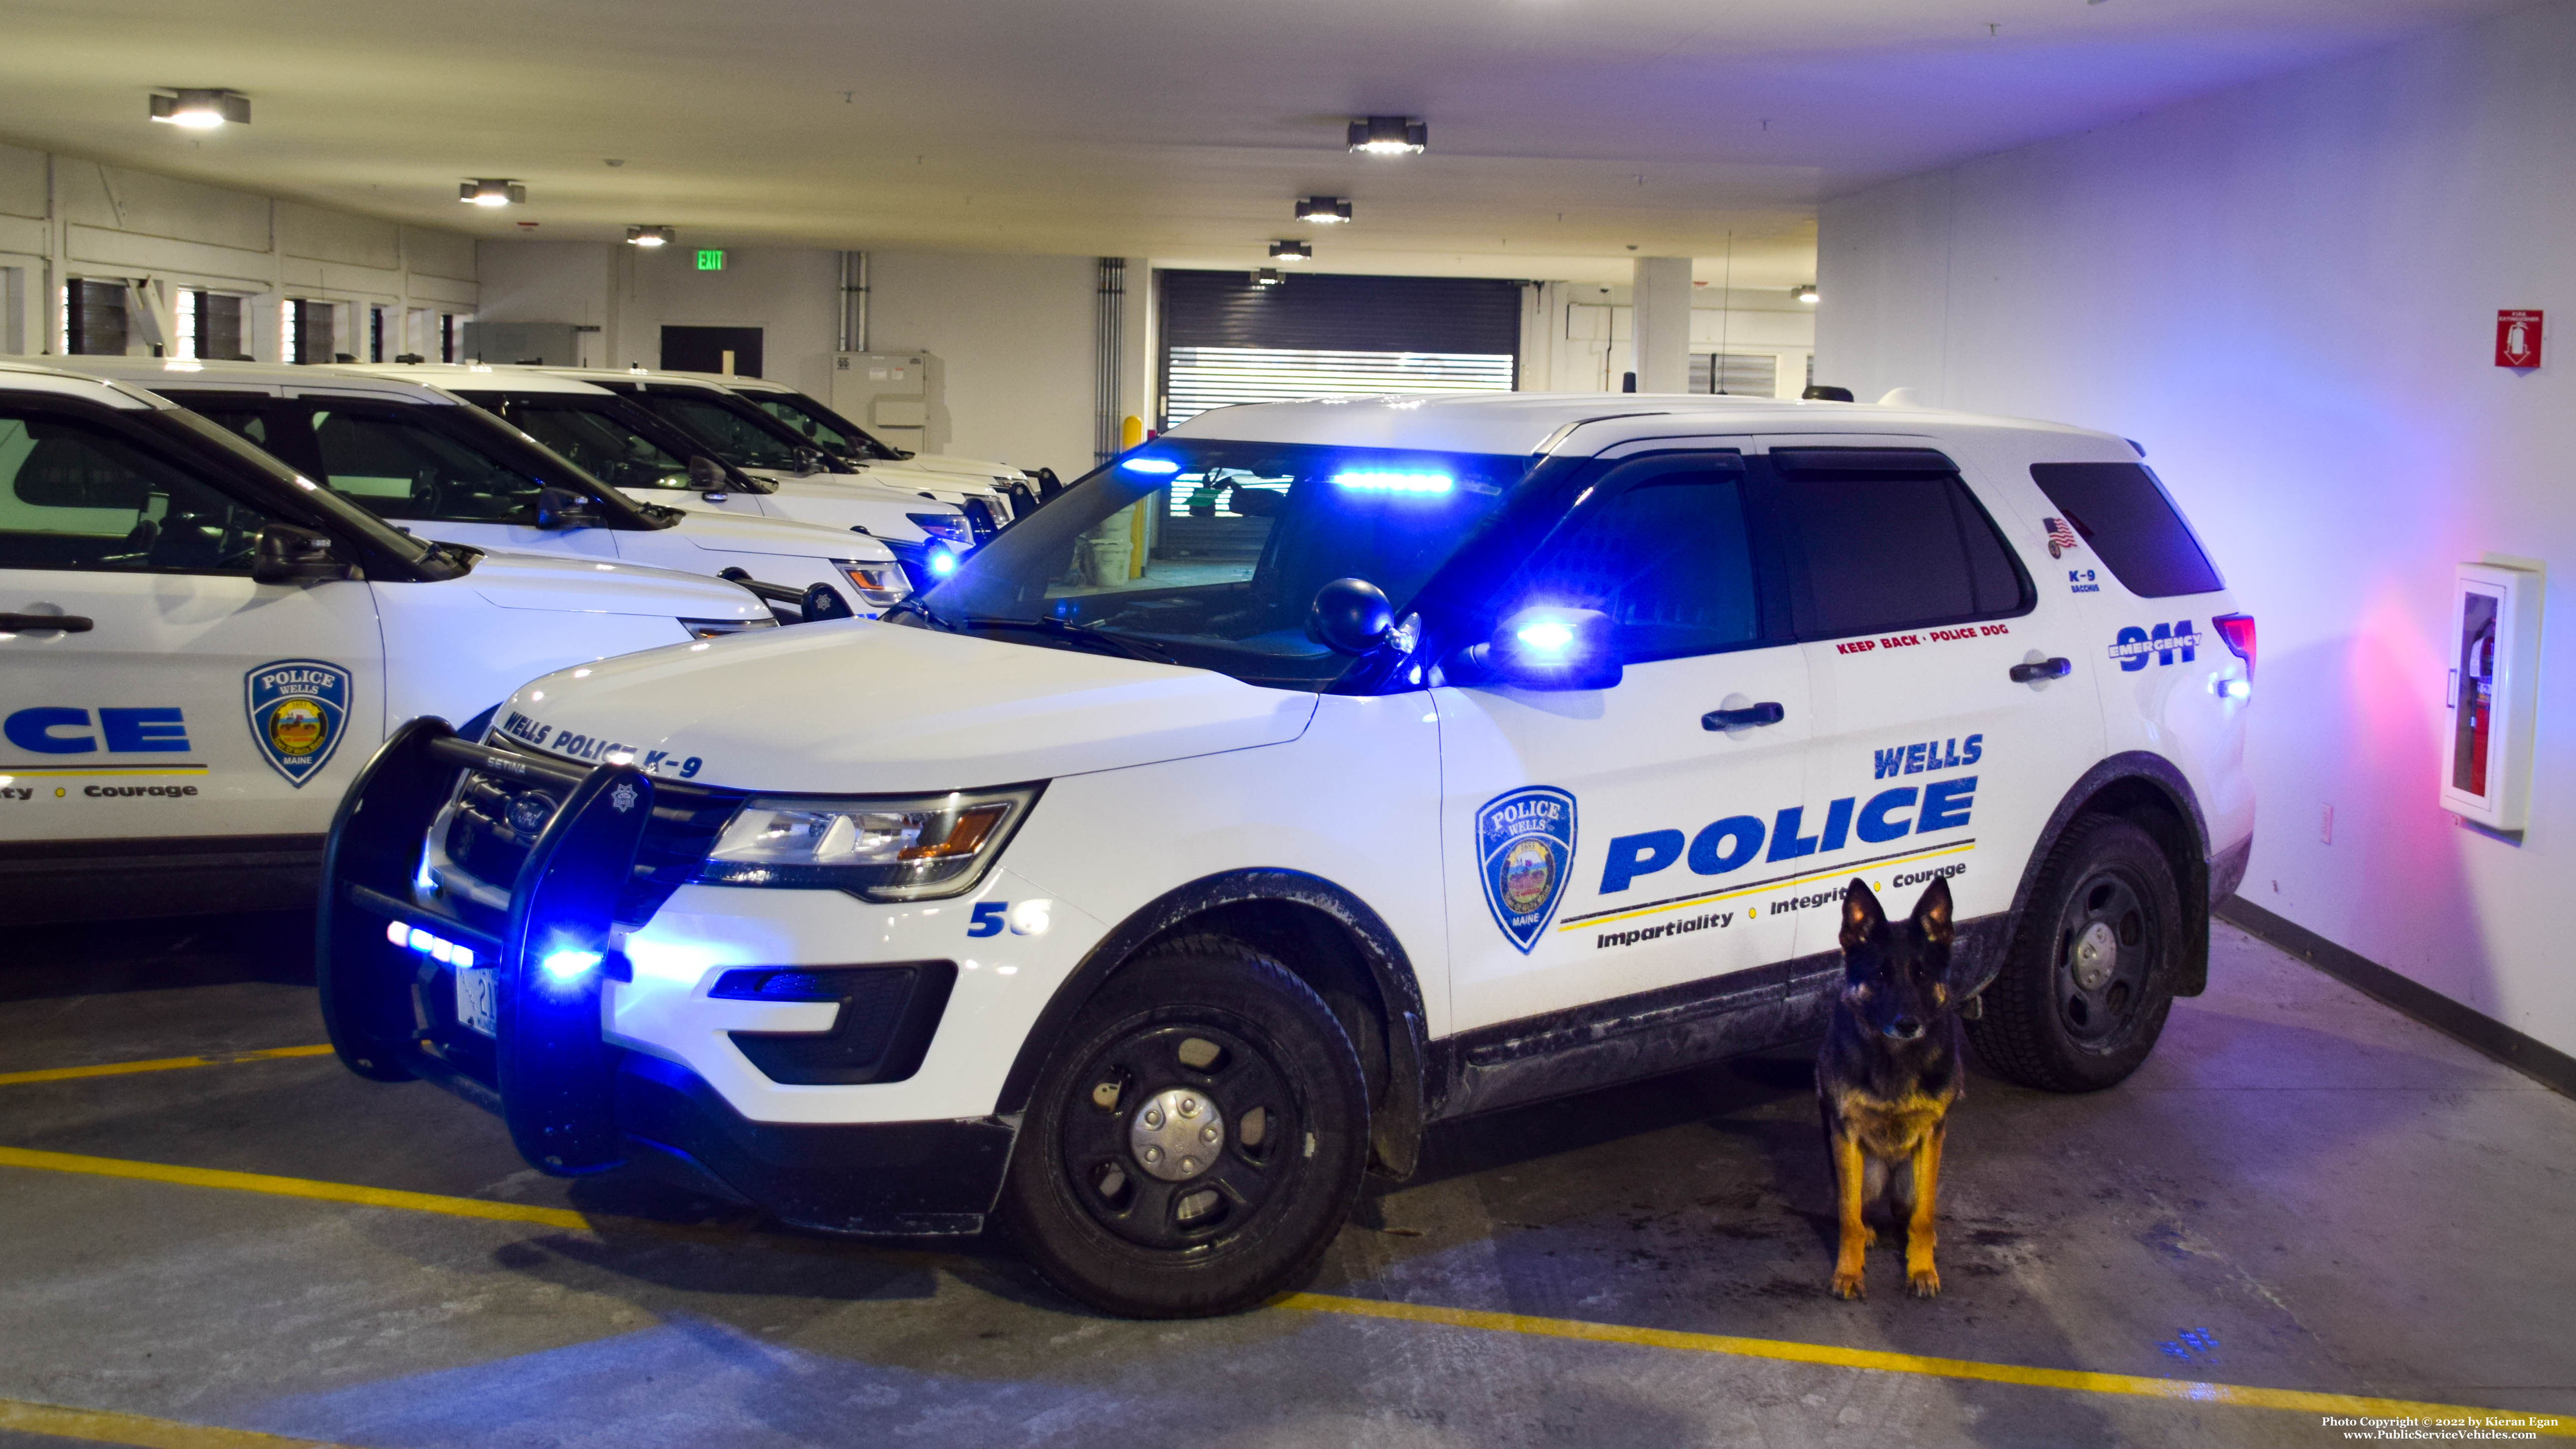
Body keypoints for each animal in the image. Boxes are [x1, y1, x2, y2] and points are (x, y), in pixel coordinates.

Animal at [1824, 875, 1957, 1302]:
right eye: (1881, 976)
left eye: (1921, 975)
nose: (1908, 1024)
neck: (1895, 1059)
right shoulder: (1846, 1134)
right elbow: (1848, 1217)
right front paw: (1849, 1273)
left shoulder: (1933, 1134)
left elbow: (1924, 1217)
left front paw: (1921, 1270)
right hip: (1862, 1172)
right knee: (1856, 1209)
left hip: (1911, 1179)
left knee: (1911, 1214)